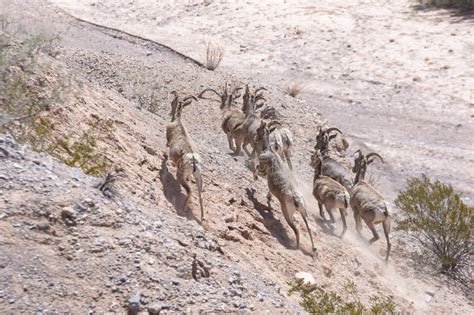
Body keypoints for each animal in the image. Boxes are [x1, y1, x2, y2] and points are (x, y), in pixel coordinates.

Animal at [167, 91, 204, 222]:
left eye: (172, 102)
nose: (170, 112)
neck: (178, 121)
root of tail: (193, 160)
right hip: (199, 177)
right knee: (200, 195)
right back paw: (202, 218)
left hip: (181, 175)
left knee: (190, 191)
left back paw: (183, 209)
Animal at [256, 125, 314, 254]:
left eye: (259, 130)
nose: (255, 137)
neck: (270, 151)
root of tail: (296, 200)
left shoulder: (263, 165)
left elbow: (257, 169)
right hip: (304, 212)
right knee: (308, 228)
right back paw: (314, 249)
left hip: (287, 213)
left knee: (296, 229)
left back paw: (296, 247)